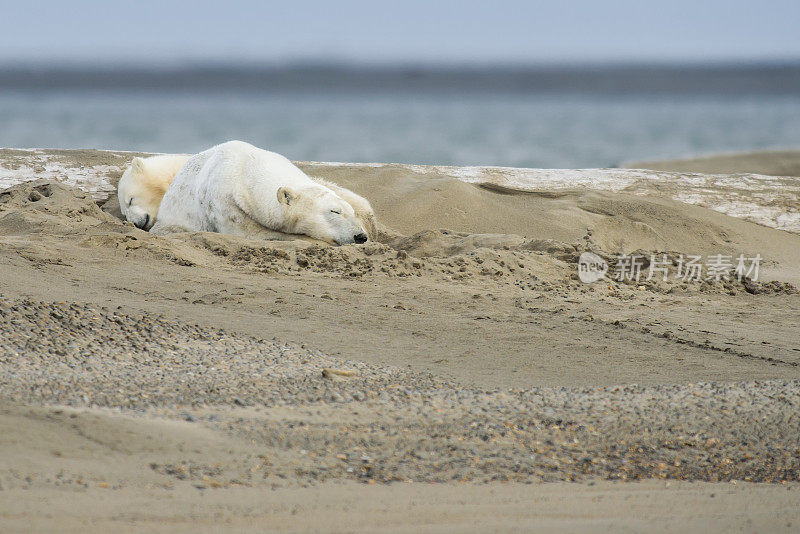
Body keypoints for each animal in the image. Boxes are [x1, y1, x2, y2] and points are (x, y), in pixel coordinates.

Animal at [150, 140, 368, 245]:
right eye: (335, 211)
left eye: (351, 212)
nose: (360, 236)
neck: (244, 167)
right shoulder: (224, 202)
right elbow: (251, 233)